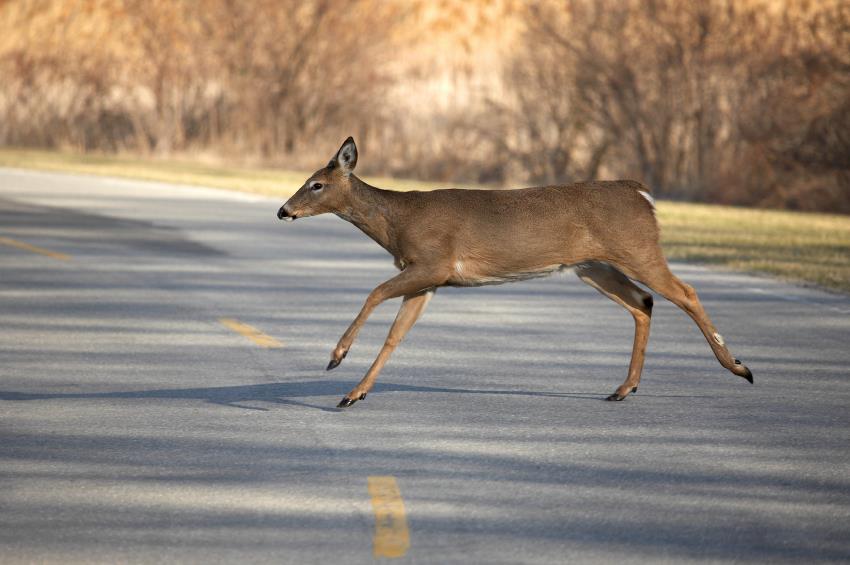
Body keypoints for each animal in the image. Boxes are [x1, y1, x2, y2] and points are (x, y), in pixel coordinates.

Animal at [277, 137, 753, 408]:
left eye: (317, 184)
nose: (283, 210)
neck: (397, 223)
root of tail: (642, 193)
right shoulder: (429, 281)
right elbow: (397, 335)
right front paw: (353, 394)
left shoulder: (433, 261)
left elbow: (373, 293)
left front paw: (336, 357)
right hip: (592, 265)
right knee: (643, 302)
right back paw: (623, 389)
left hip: (637, 248)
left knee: (684, 292)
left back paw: (739, 367)